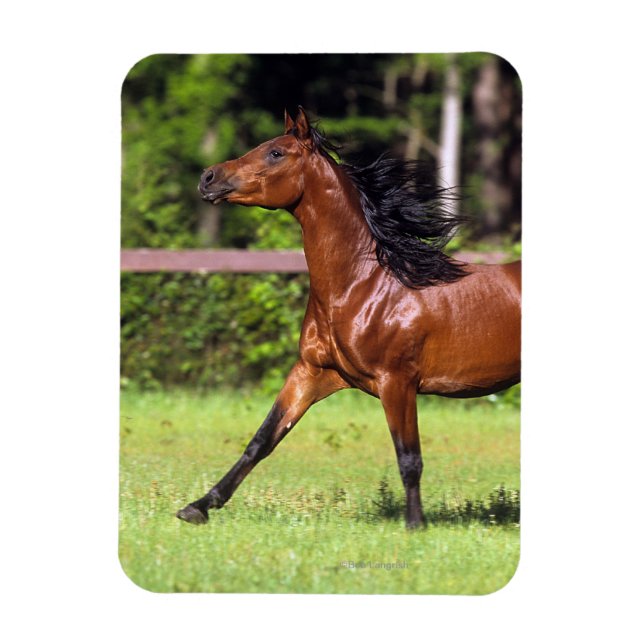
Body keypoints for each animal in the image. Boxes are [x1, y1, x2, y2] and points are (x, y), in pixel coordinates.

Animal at [177, 106, 521, 529]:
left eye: (275, 152)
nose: (208, 177)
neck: (364, 285)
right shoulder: (312, 372)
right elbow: (262, 440)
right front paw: (198, 506)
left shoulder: (397, 383)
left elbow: (409, 458)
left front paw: (415, 526)